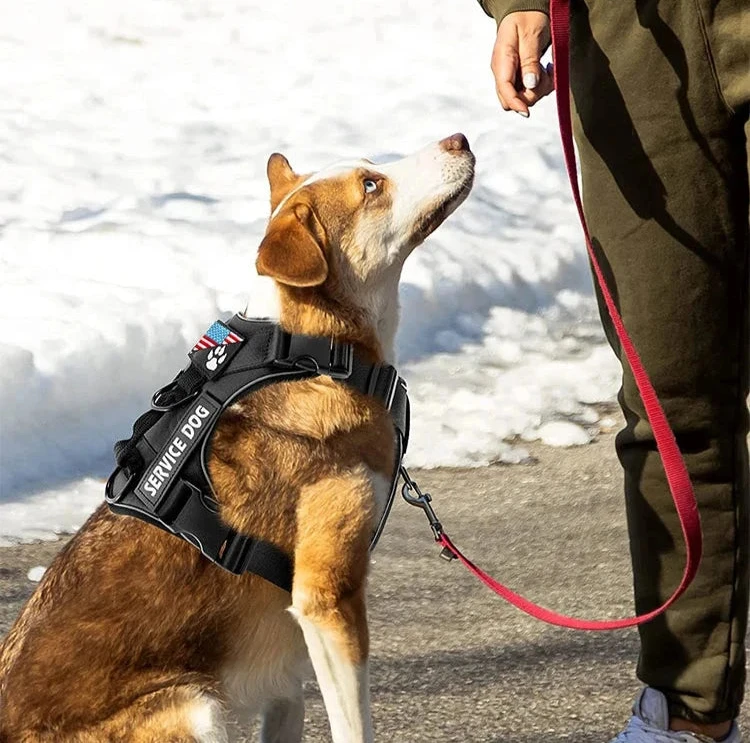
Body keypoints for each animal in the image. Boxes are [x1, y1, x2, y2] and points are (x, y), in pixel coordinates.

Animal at [0, 134, 476, 744]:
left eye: (371, 166)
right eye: (371, 185)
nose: (458, 138)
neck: (310, 352)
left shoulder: (287, 676)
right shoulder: (327, 596)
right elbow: (354, 728)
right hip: (196, 707)